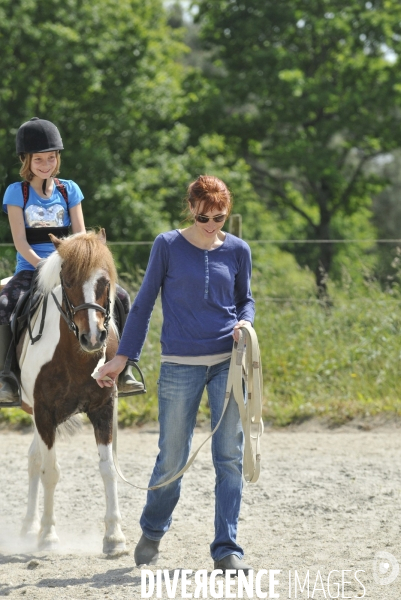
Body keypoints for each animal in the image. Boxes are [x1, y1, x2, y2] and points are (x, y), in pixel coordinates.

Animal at [17, 229, 125, 552]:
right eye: (67, 282)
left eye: (104, 281)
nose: (93, 338)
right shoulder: (44, 413)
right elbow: (51, 471)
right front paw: (48, 536)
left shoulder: (103, 409)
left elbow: (108, 467)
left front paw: (114, 536)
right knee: (38, 462)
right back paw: (33, 529)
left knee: (33, 459)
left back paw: (29, 527)